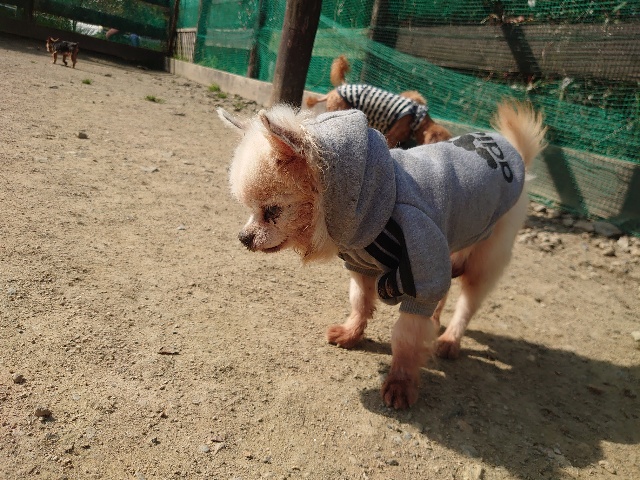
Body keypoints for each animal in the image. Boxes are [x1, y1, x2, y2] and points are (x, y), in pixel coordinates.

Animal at [221, 99, 546, 409]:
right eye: (250, 211)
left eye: (272, 211)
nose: (243, 238)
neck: (379, 206)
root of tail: (512, 152)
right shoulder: (361, 266)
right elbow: (361, 302)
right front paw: (351, 334)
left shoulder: (421, 269)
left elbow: (406, 338)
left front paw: (400, 384)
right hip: (451, 241)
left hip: (484, 257)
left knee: (467, 302)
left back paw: (450, 339)